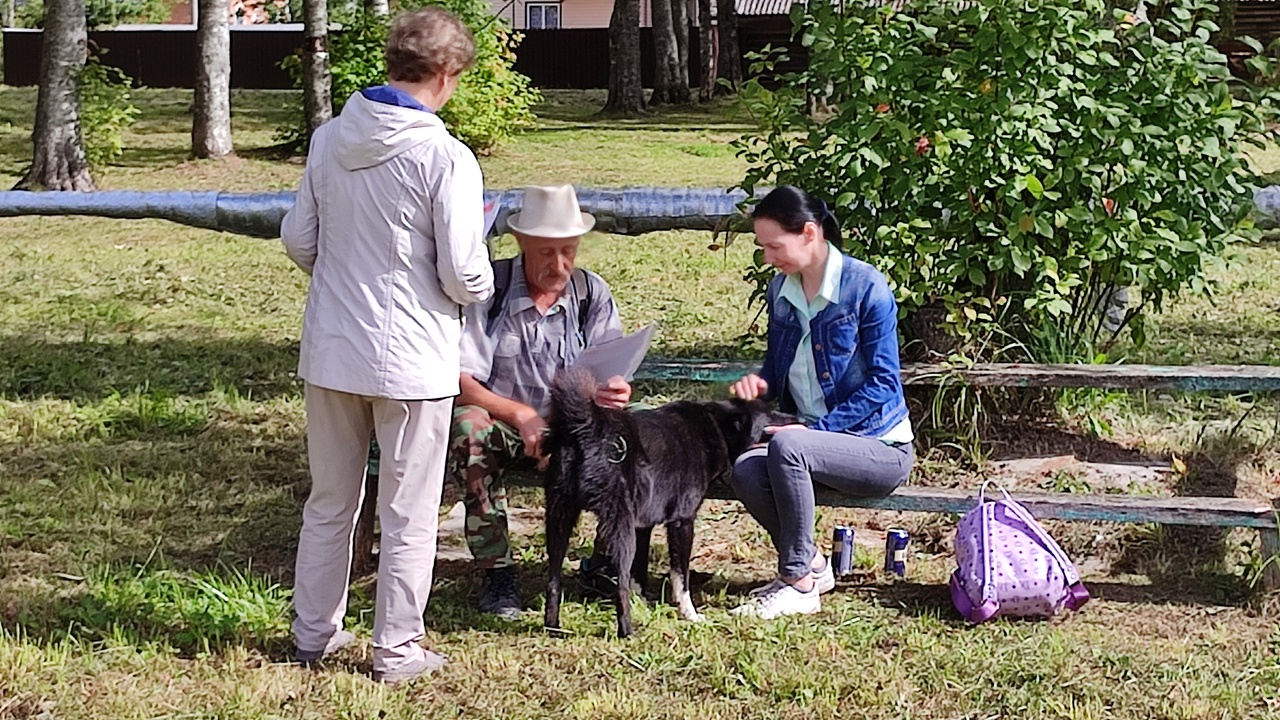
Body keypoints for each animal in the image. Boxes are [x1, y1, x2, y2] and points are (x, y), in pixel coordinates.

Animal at [545, 366, 793, 635]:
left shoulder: (642, 525)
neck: (715, 426)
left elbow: (639, 573)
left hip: (560, 518)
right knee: (620, 585)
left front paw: (643, 603)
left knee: (553, 580)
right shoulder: (681, 522)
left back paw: (553, 628)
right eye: (770, 415)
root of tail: (588, 427)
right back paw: (627, 632)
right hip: (619, 528)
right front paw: (690, 614)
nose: (796, 417)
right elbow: (680, 577)